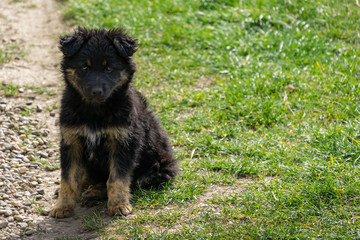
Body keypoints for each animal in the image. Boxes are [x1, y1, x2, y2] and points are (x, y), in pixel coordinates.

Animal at [50, 27, 179, 218]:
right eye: (84, 67)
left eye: (109, 68)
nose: (96, 91)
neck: (95, 111)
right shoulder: (71, 141)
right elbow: (69, 178)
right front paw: (63, 206)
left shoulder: (124, 141)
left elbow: (117, 179)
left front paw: (119, 205)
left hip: (158, 167)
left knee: (131, 181)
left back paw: (94, 192)